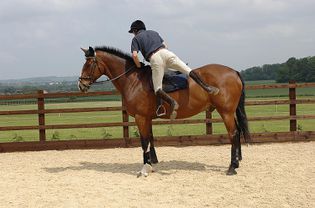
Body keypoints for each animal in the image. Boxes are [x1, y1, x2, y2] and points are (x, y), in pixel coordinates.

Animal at [78, 46, 252, 176]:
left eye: (88, 64)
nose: (81, 85)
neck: (133, 80)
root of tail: (234, 71)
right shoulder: (147, 118)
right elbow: (150, 139)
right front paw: (152, 163)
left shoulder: (140, 117)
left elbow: (144, 142)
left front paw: (145, 168)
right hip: (229, 112)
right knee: (237, 131)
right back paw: (237, 162)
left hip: (226, 112)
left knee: (233, 133)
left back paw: (232, 167)